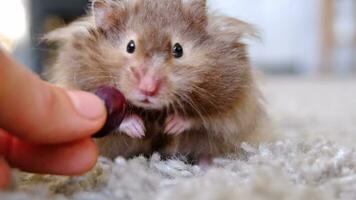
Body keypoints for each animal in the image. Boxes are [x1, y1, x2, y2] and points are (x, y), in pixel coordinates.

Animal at [46, 0, 272, 162]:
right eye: (130, 46)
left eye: (178, 49)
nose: (148, 89)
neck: (153, 112)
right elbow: (118, 122)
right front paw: (138, 128)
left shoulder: (234, 101)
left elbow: (207, 118)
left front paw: (171, 125)